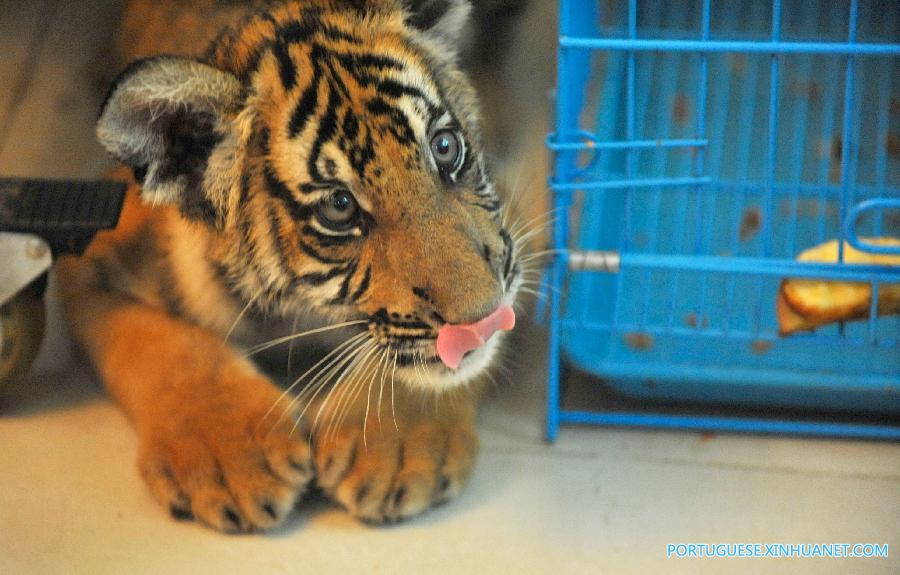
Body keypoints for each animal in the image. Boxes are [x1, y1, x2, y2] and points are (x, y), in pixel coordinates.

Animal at [57, 0, 536, 533]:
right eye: (339, 206)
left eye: (445, 147)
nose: (482, 319)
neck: (302, 313)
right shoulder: (86, 256)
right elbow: (165, 347)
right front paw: (232, 457)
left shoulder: (518, 227)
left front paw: (390, 448)